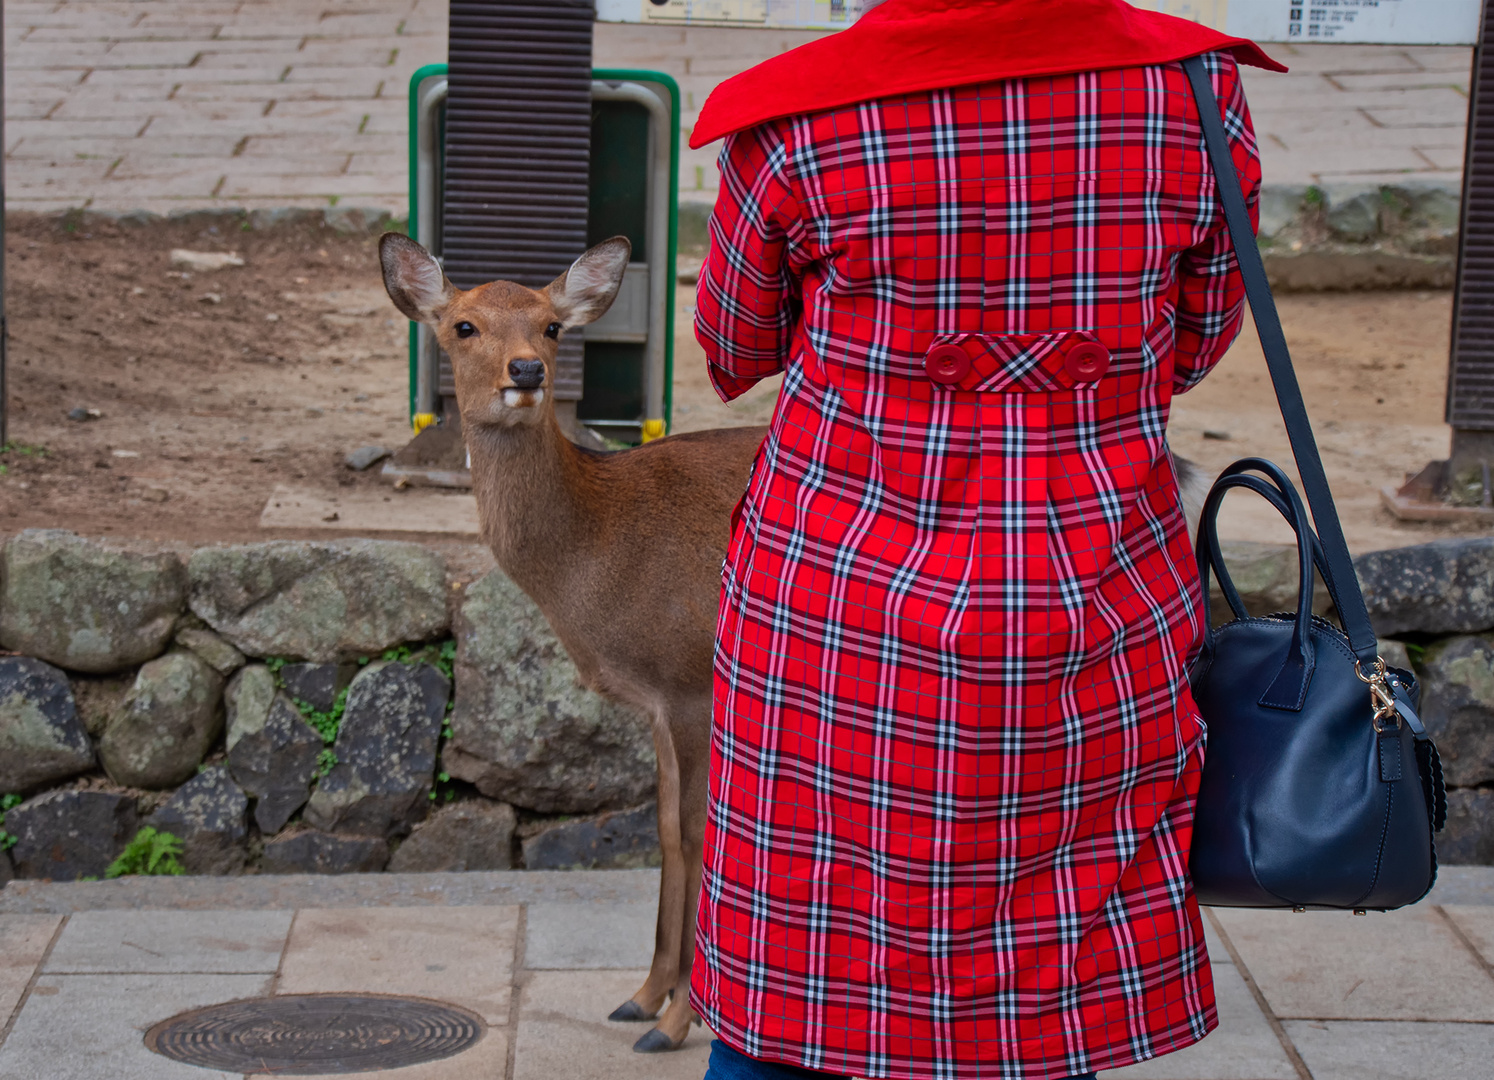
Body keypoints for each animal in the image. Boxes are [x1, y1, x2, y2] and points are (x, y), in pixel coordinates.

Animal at [379, 233, 764, 1051]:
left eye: (552, 325)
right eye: (463, 325)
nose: (526, 370)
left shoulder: (693, 679)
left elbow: (699, 832)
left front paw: (677, 1022)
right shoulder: (657, 702)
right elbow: (664, 829)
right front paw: (642, 997)